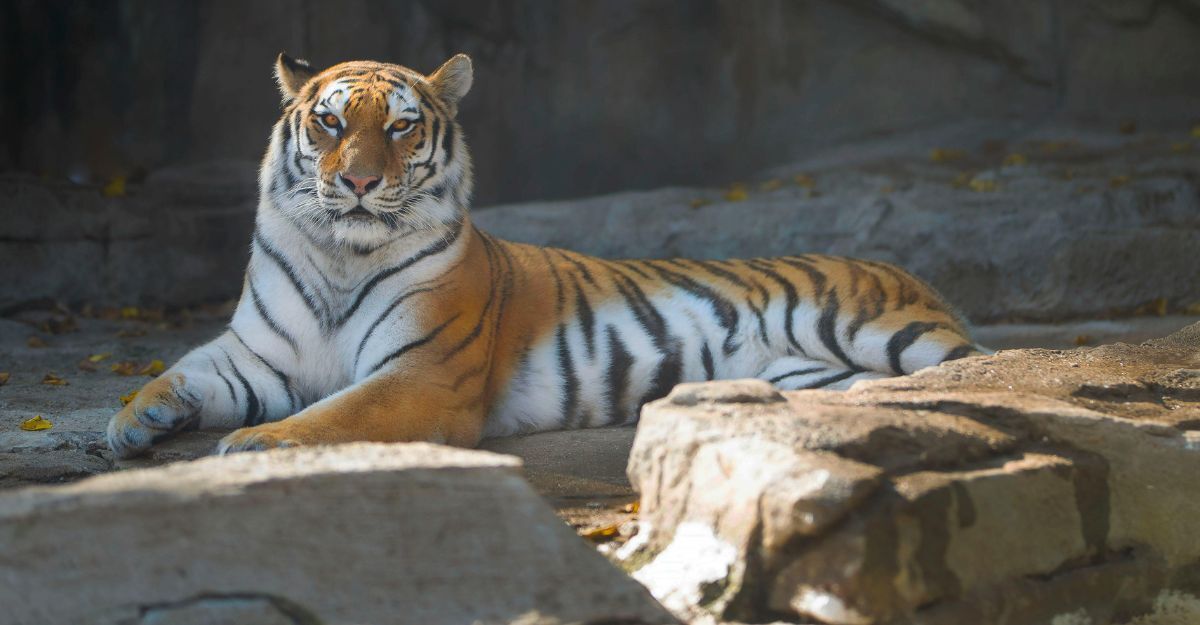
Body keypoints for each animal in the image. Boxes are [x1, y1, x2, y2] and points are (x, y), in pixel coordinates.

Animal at [106, 53, 985, 458]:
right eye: (327, 121)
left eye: (399, 126)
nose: (356, 181)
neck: (339, 256)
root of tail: (903, 270)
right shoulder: (255, 354)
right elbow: (181, 370)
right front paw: (132, 420)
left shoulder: (423, 373)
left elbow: (340, 411)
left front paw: (258, 445)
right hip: (817, 375)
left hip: (885, 330)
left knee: (974, 363)